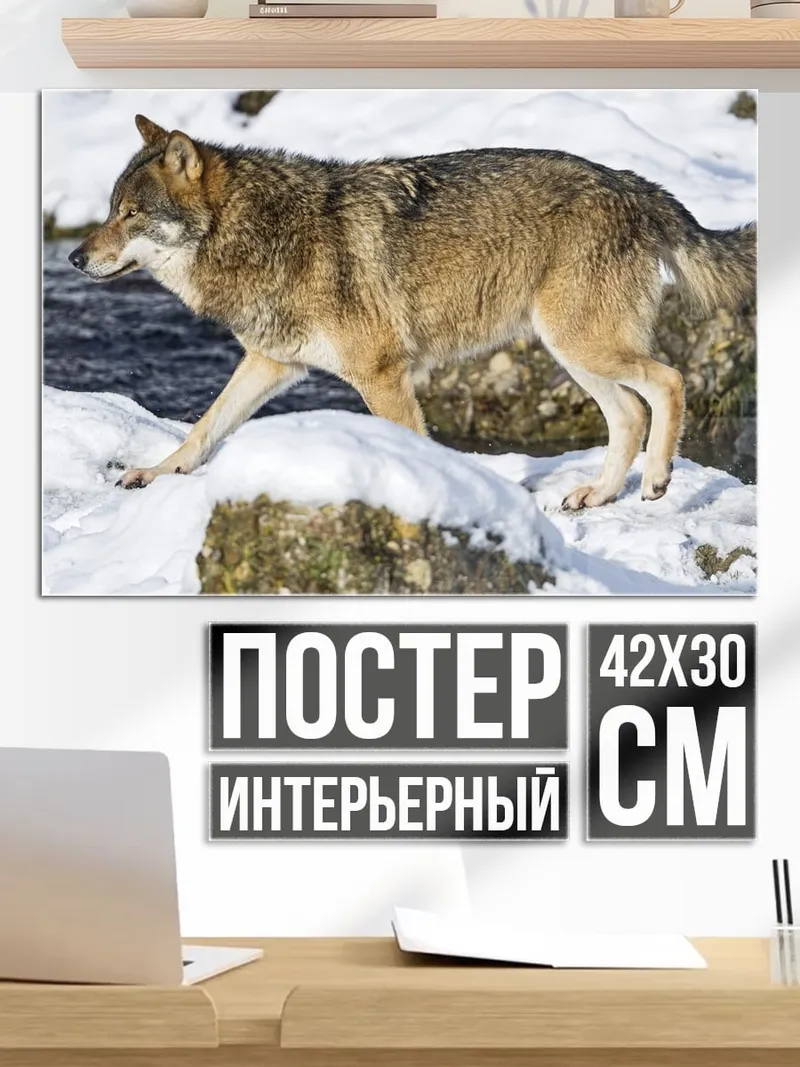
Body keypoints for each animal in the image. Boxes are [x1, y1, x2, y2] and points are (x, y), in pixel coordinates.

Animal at [69, 114, 756, 509]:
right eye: (109, 210)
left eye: (131, 214)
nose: (74, 256)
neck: (264, 234)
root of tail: (634, 182)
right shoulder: (270, 364)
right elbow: (203, 429)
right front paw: (156, 473)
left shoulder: (381, 375)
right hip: (571, 351)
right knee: (629, 415)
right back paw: (599, 495)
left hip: (581, 345)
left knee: (668, 382)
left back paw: (657, 480)